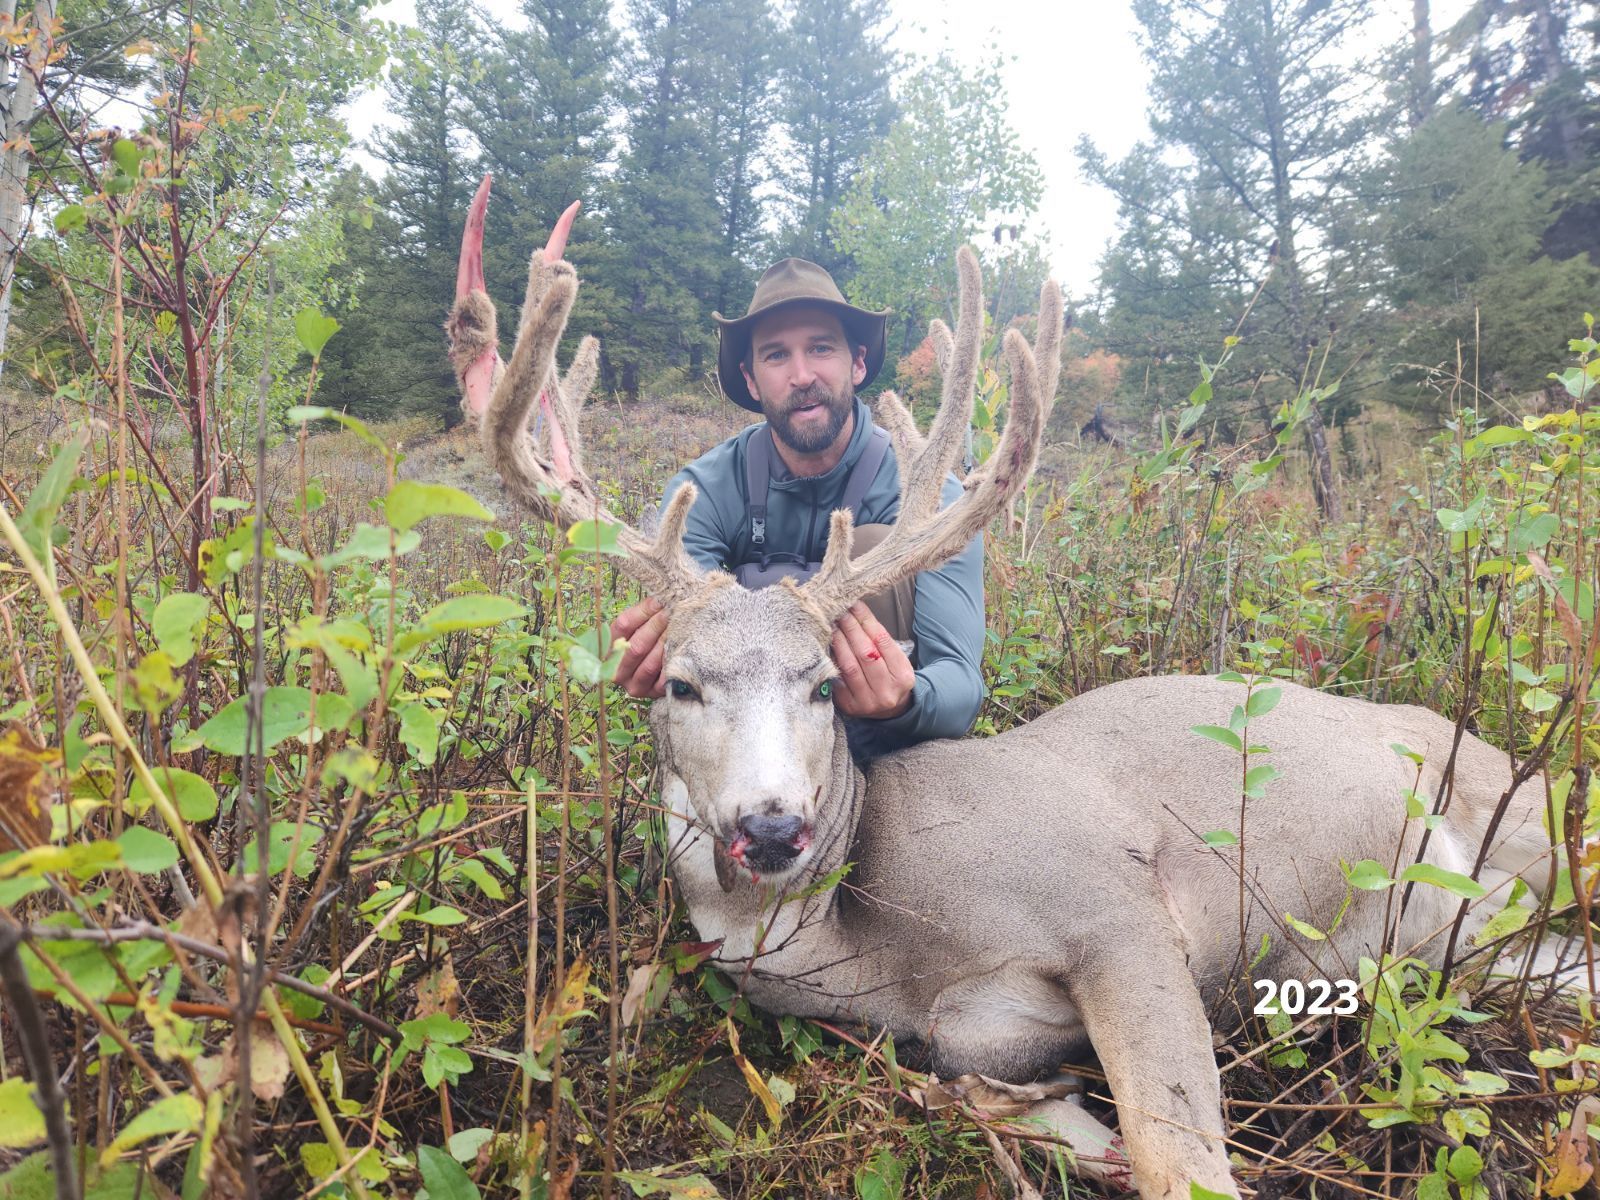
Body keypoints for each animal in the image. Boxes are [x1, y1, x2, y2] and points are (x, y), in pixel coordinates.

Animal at [443, 178, 1570, 1200]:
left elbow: (1181, 1161)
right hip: (1473, 938)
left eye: (823, 686)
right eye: (678, 684)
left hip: (1524, 826)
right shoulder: (966, 1038)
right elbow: (993, 1099)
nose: (771, 826)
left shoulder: (1120, 909)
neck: (882, 948)